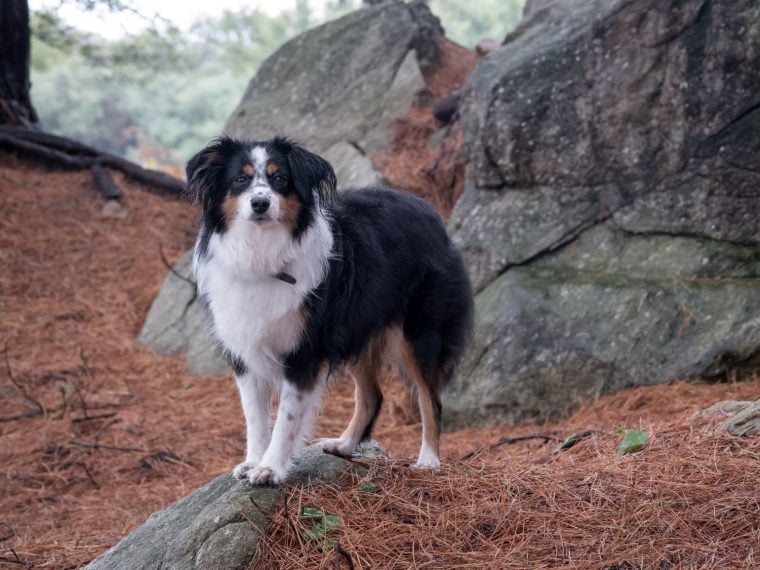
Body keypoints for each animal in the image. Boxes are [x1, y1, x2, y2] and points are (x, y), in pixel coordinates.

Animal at [187, 135, 472, 482]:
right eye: (240, 180)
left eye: (280, 179)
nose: (260, 204)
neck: (263, 253)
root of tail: (428, 209)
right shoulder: (245, 350)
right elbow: (255, 417)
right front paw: (253, 461)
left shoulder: (302, 352)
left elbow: (287, 416)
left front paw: (270, 468)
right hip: (357, 328)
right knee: (373, 396)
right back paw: (346, 444)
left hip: (418, 334)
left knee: (431, 398)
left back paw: (428, 459)